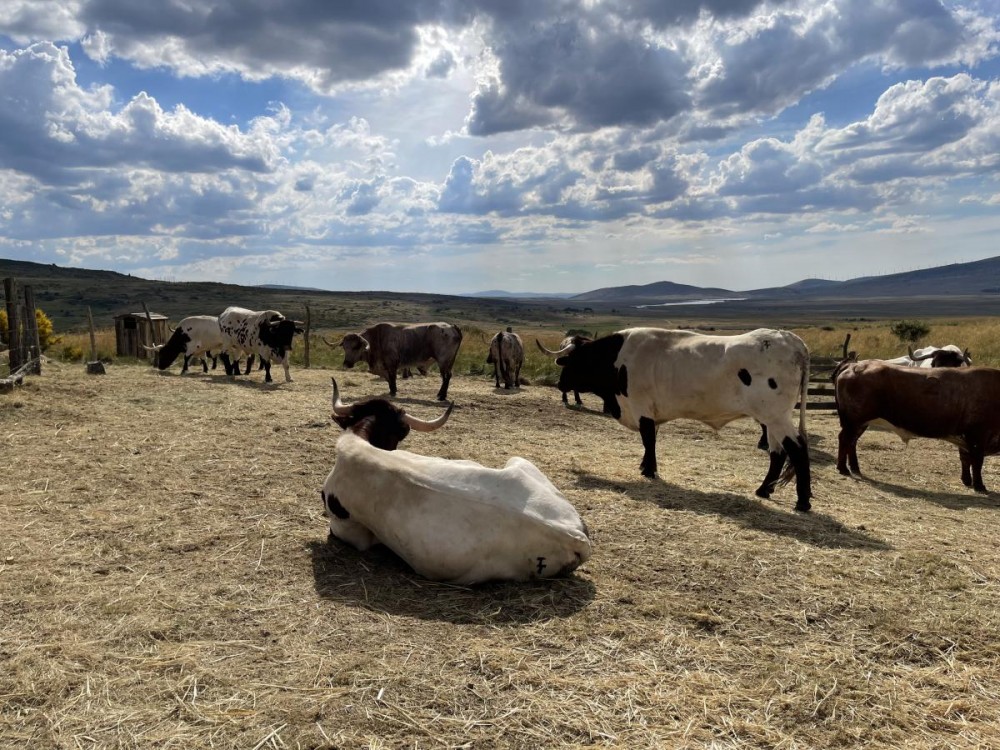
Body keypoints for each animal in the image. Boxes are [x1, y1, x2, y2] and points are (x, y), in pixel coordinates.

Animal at [541, 327, 812, 511]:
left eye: (573, 361)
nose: (560, 384)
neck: (618, 360)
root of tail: (792, 340)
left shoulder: (642, 409)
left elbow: (648, 440)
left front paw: (649, 470)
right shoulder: (650, 413)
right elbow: (650, 441)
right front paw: (645, 465)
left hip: (776, 417)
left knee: (797, 449)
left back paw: (802, 502)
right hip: (771, 419)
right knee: (778, 453)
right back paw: (764, 490)